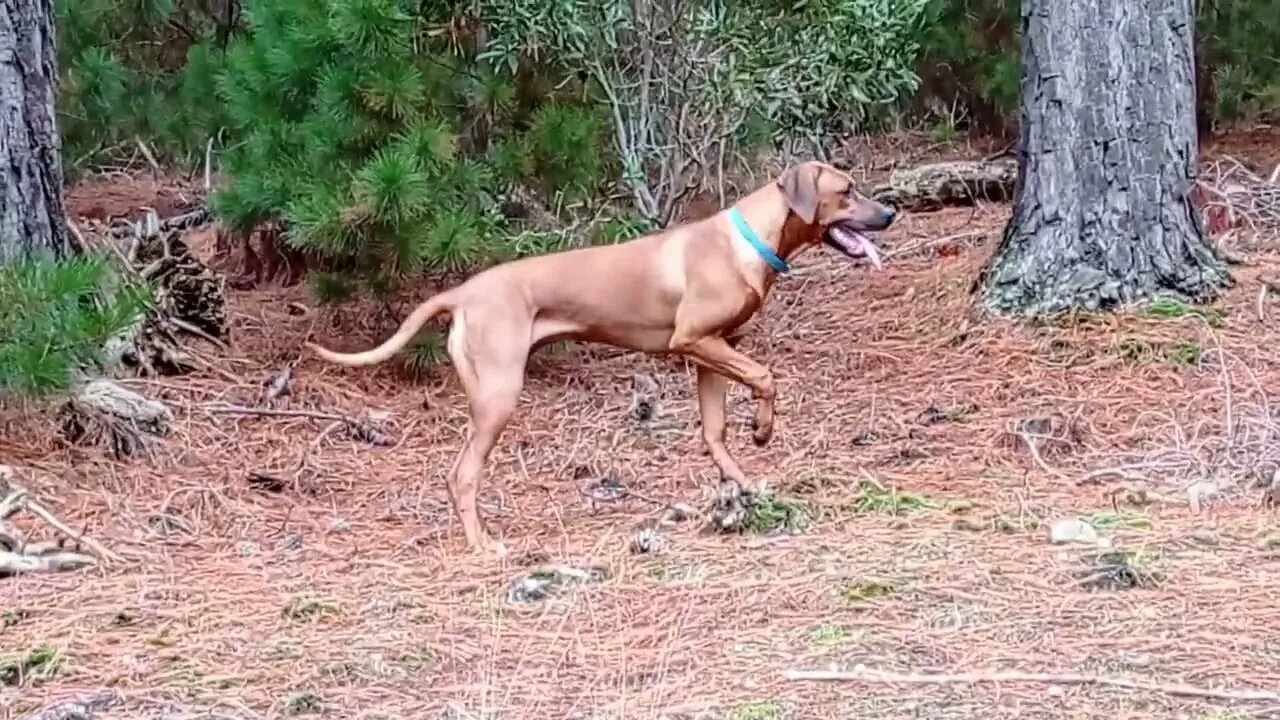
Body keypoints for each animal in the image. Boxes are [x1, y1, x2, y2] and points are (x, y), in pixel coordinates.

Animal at [304, 161, 896, 556]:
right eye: (847, 191)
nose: (891, 211)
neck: (749, 240)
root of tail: (463, 293)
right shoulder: (693, 340)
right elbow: (766, 377)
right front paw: (765, 429)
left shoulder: (712, 351)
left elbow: (714, 431)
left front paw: (742, 482)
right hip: (498, 395)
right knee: (462, 475)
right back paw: (482, 546)